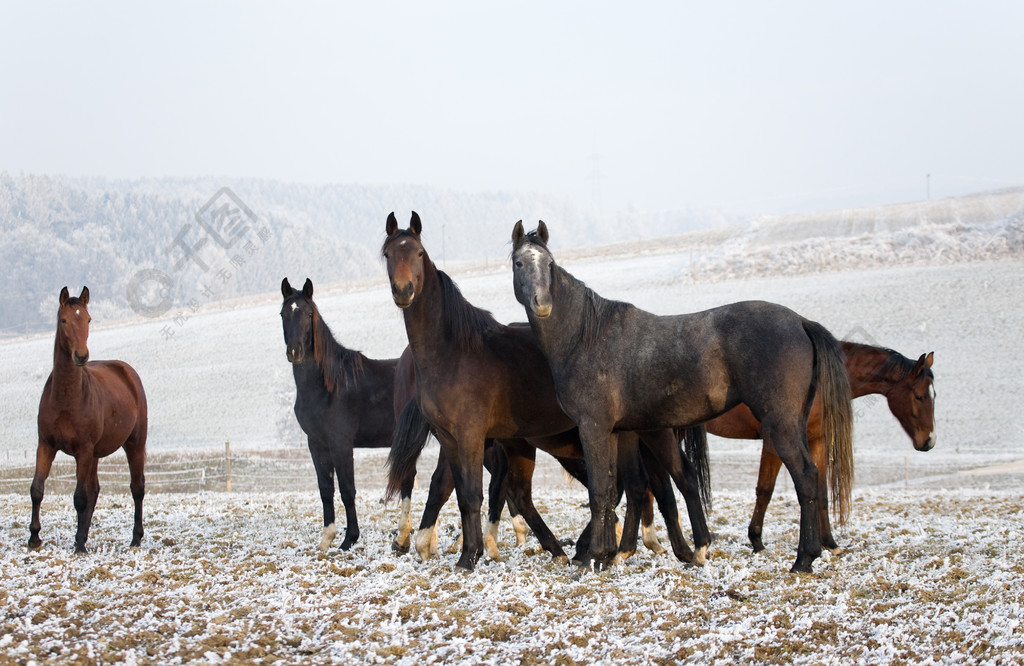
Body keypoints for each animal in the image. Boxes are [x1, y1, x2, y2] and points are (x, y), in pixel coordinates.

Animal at [30, 284, 148, 549]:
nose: (81, 356)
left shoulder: (83, 450)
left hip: (133, 444)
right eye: (63, 319)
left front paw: (79, 546)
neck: (66, 398)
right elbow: (37, 489)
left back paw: (135, 538)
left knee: (137, 488)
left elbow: (79, 497)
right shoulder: (46, 445)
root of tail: (127, 372)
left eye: (88, 319)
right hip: (94, 454)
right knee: (95, 489)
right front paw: (34, 538)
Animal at [507, 221, 851, 569]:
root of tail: (801, 322)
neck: (586, 337)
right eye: (519, 262)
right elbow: (611, 489)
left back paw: (803, 559)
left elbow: (600, 490)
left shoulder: (593, 427)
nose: (543, 303)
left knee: (805, 476)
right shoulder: (615, 431)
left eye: (549, 264)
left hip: (781, 423)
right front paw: (604, 555)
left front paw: (593, 557)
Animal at [708, 340, 933, 553]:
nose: (929, 440)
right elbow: (765, 490)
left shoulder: (818, 440)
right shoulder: (774, 441)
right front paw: (756, 542)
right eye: (919, 396)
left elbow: (821, 493)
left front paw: (830, 543)